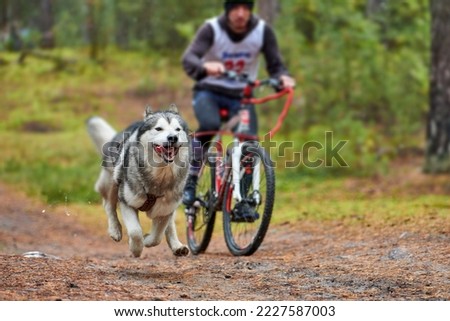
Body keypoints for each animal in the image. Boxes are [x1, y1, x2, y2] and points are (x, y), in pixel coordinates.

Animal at [87, 105, 191, 258]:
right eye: (159, 128)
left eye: (178, 129)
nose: (173, 137)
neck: (160, 176)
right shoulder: (127, 202)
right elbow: (135, 231)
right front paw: (136, 248)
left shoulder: (166, 209)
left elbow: (157, 236)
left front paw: (147, 240)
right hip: (111, 182)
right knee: (108, 205)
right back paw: (115, 230)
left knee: (170, 226)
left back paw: (177, 246)